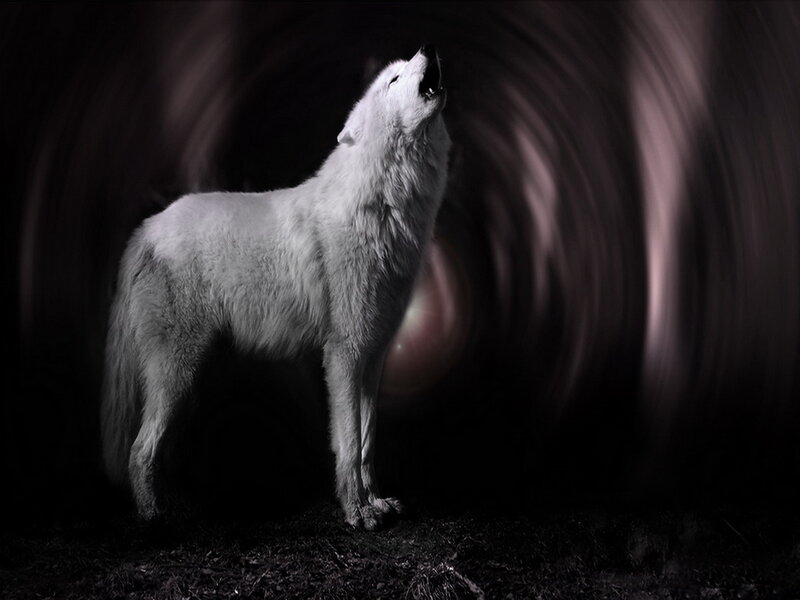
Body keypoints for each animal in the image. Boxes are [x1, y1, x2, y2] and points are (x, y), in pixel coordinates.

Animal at [100, 45, 450, 530]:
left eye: (403, 70)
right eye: (393, 80)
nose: (428, 48)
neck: (385, 204)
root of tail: (145, 229)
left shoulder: (373, 356)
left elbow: (366, 443)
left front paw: (376, 502)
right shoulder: (343, 355)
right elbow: (347, 446)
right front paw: (357, 512)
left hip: (184, 378)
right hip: (176, 372)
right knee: (140, 448)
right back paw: (155, 515)